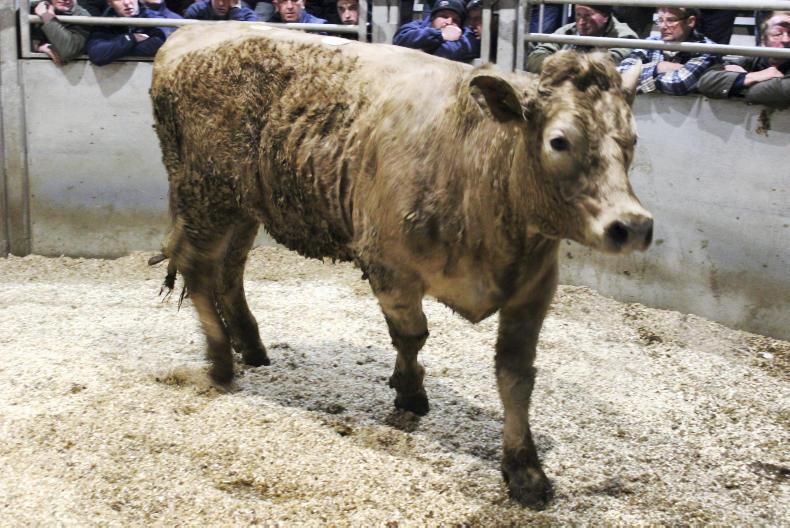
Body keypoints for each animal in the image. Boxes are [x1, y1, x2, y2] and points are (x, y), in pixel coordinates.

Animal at [150, 22, 651, 508]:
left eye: (631, 140)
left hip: (242, 207)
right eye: (559, 141)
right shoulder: (388, 265)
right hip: (205, 194)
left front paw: (524, 471)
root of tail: (187, 33)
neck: (475, 164)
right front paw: (410, 393)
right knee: (198, 269)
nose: (632, 225)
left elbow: (515, 375)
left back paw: (250, 346)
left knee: (230, 270)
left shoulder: (534, 286)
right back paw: (220, 361)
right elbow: (411, 336)